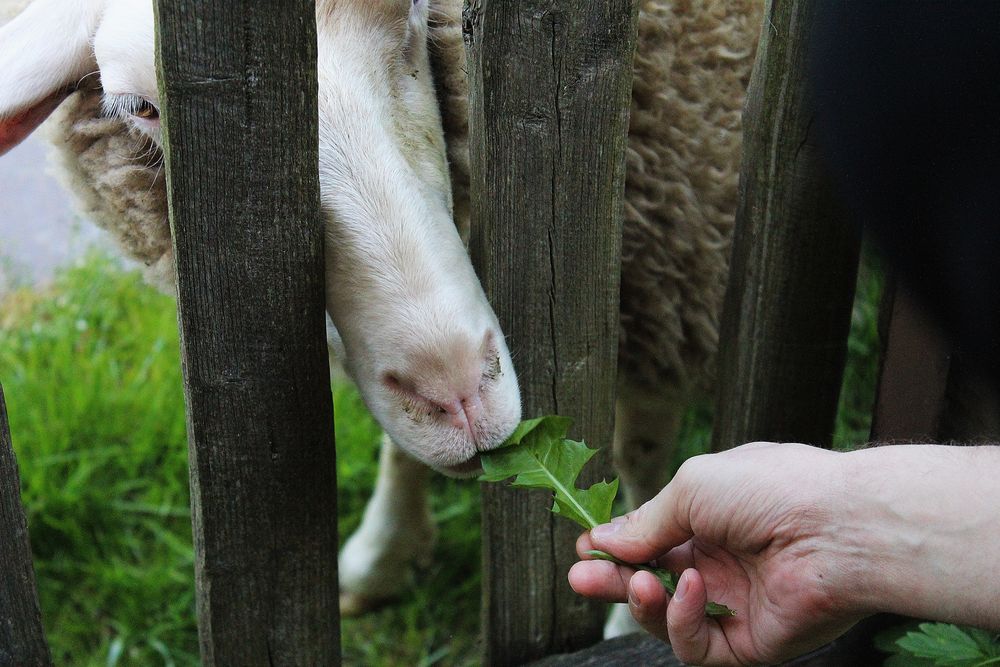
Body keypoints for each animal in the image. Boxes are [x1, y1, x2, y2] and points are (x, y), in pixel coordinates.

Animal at [0, 0, 760, 636]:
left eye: (413, 14)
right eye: (140, 107)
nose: (460, 396)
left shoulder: (672, 272)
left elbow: (640, 452)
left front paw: (637, 606)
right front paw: (381, 554)